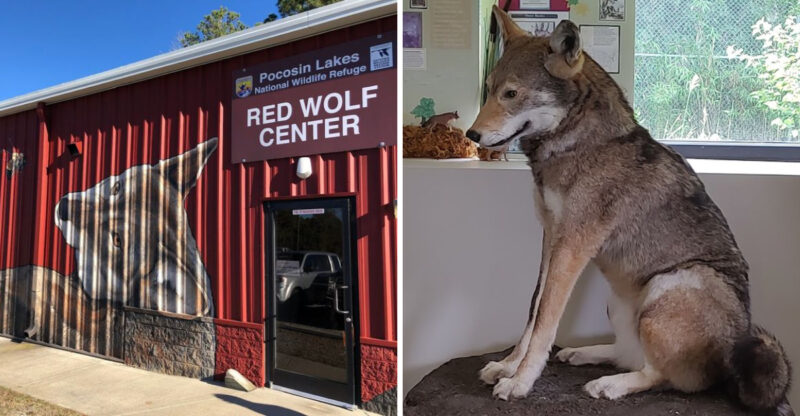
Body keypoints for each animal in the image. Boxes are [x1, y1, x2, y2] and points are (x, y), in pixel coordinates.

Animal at [465, 7, 793, 415]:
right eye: (490, 88)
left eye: (511, 93)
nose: (471, 136)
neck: (580, 142)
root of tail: (732, 361)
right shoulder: (550, 240)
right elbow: (532, 312)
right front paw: (507, 366)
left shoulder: (571, 248)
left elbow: (544, 324)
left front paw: (520, 382)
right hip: (619, 300)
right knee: (630, 355)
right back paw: (585, 354)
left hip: (669, 285)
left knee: (668, 377)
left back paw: (610, 385)